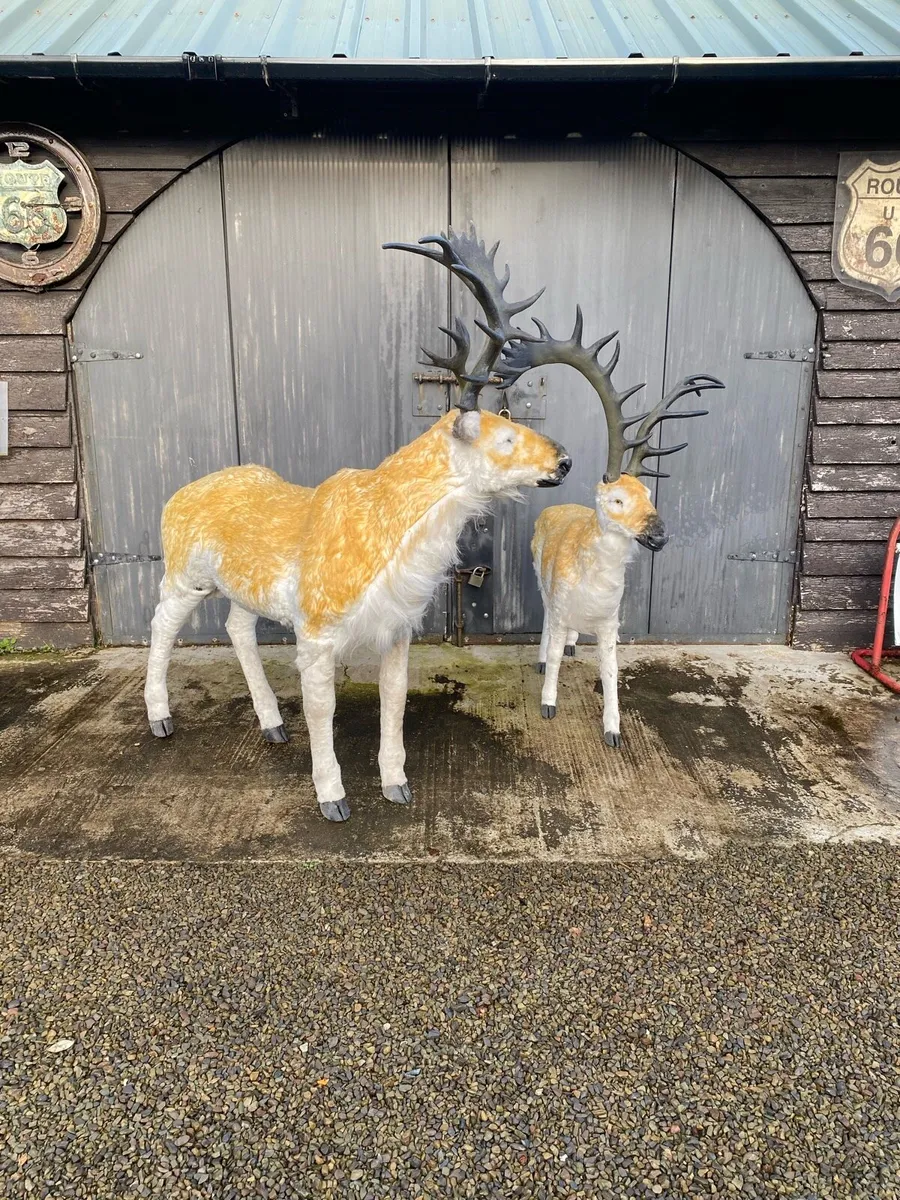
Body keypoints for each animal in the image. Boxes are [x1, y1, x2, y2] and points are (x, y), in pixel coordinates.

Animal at [143, 227, 572, 822]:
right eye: (505, 437)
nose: (565, 461)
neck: (388, 538)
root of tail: (172, 499)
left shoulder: (398, 628)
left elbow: (394, 703)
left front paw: (397, 784)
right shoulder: (317, 623)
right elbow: (322, 712)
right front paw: (333, 799)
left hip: (241, 587)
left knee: (236, 626)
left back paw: (272, 725)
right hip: (184, 571)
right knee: (161, 623)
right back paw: (160, 718)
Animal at [495, 309, 723, 747]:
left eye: (649, 493)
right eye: (616, 500)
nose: (659, 535)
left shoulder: (609, 623)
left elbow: (611, 671)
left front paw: (614, 730)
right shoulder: (561, 603)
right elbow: (553, 656)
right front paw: (548, 704)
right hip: (539, 577)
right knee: (545, 623)